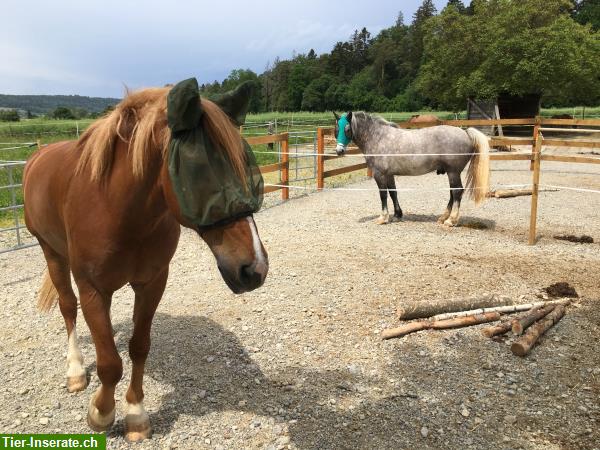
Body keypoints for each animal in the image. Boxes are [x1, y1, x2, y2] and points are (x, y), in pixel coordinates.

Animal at [23, 83, 268, 440]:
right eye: (199, 171)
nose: (255, 268)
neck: (117, 207)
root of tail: (38, 157)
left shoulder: (152, 283)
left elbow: (138, 347)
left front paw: (136, 414)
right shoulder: (93, 289)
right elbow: (110, 362)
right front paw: (101, 413)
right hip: (52, 253)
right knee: (68, 307)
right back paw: (76, 371)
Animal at [336, 111, 490, 227]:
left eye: (347, 129)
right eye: (336, 130)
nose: (339, 151)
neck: (378, 137)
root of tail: (465, 133)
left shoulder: (380, 174)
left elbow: (383, 195)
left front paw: (383, 218)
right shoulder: (389, 175)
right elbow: (393, 193)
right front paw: (397, 215)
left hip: (453, 172)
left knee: (457, 191)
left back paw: (451, 220)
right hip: (451, 173)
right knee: (453, 193)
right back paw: (443, 217)